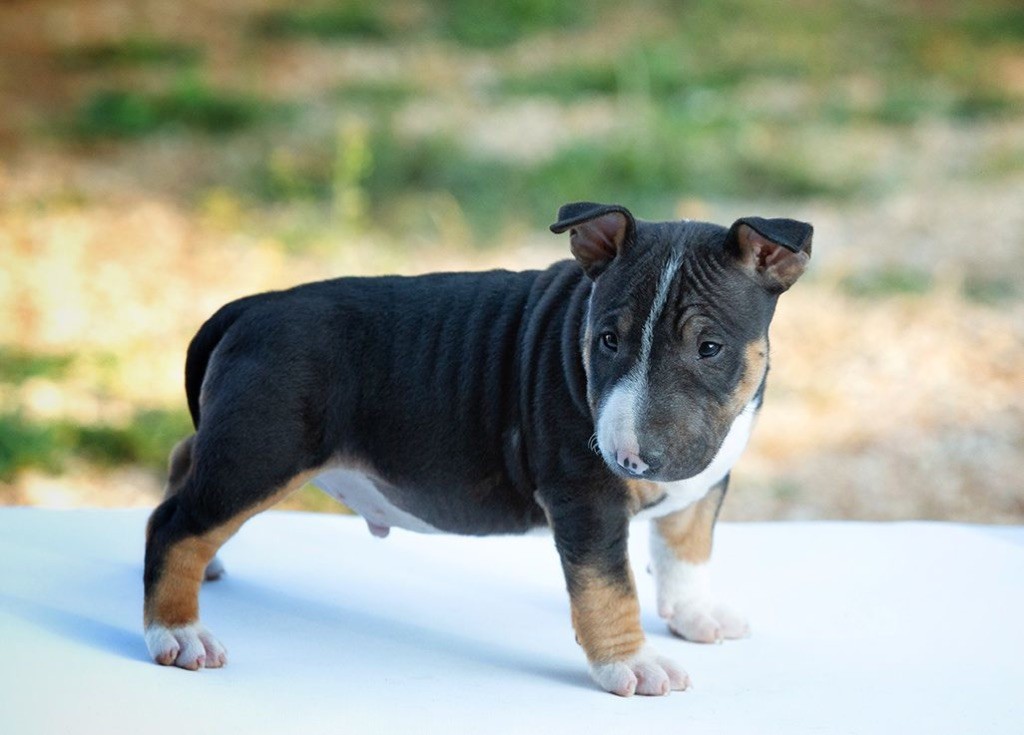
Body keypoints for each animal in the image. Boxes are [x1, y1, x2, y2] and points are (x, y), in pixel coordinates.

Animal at [144, 201, 812, 696]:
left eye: (709, 348)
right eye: (607, 339)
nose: (631, 458)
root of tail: (249, 306)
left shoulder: (706, 484)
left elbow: (686, 548)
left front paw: (696, 615)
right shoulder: (585, 499)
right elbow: (610, 587)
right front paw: (632, 664)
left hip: (236, 434)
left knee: (185, 460)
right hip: (262, 448)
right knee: (175, 523)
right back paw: (178, 632)